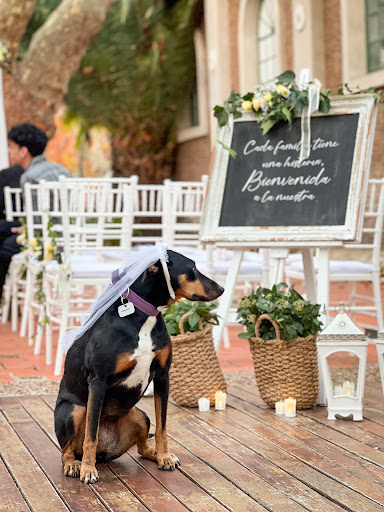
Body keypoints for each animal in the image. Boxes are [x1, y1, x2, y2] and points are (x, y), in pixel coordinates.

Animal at [52, 252, 224, 484]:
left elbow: (162, 427)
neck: (143, 317)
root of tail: (105, 453)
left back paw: (156, 454)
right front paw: (88, 470)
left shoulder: (162, 375)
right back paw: (74, 465)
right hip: (74, 410)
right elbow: (91, 433)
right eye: (193, 269)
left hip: (140, 416)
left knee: (142, 448)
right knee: (66, 450)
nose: (221, 289)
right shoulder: (98, 381)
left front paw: (165, 457)